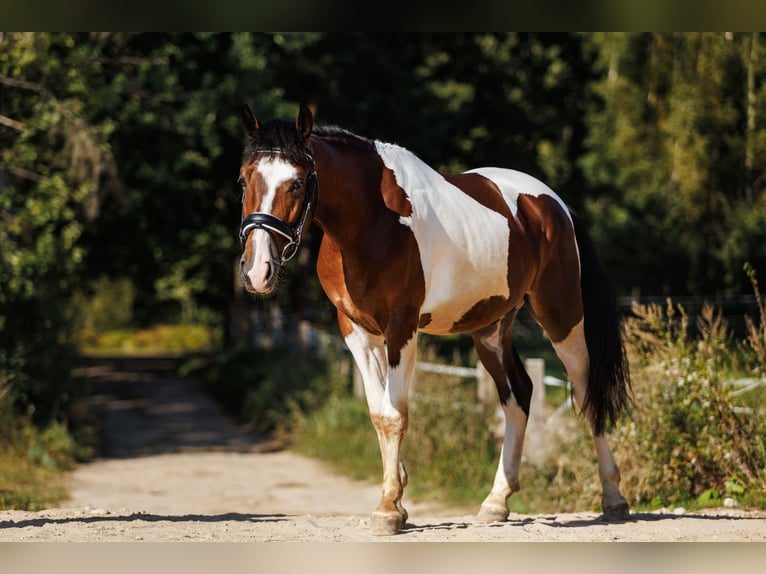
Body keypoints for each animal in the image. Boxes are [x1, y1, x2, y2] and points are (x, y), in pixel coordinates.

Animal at [237, 102, 632, 536]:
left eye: (297, 183)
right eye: (243, 180)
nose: (258, 270)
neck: (370, 220)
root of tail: (554, 206)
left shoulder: (401, 328)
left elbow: (395, 414)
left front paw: (388, 510)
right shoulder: (357, 332)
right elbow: (379, 413)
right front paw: (397, 497)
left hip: (561, 317)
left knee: (586, 391)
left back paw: (614, 498)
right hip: (489, 330)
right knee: (518, 395)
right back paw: (496, 502)